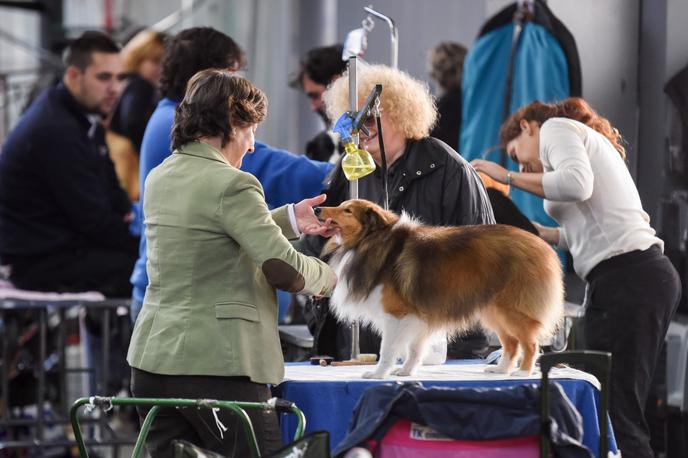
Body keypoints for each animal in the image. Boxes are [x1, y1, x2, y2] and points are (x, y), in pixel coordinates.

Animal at [318, 199, 564, 380]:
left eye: (347, 210)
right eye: (342, 205)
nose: (318, 209)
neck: (373, 240)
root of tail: (543, 247)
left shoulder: (396, 314)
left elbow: (387, 349)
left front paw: (378, 374)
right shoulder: (415, 317)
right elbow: (414, 349)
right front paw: (406, 371)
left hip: (512, 310)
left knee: (530, 343)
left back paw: (523, 372)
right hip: (494, 310)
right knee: (512, 343)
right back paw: (500, 369)